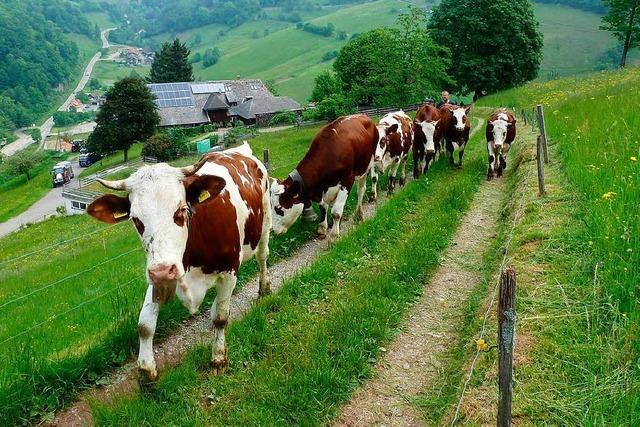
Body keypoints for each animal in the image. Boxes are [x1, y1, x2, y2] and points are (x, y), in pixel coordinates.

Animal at [86, 143, 272, 378]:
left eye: (181, 210)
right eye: (135, 220)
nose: (163, 270)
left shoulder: (229, 271)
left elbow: (221, 317)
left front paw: (218, 359)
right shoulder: (159, 273)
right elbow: (144, 325)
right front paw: (146, 370)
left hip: (264, 223)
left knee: (262, 256)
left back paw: (264, 288)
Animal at [268, 113, 378, 241]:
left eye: (278, 208)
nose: (273, 230)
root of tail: (364, 115)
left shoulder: (347, 181)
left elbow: (336, 212)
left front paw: (334, 236)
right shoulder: (321, 190)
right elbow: (323, 207)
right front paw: (322, 228)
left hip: (367, 165)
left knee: (361, 190)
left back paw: (359, 215)